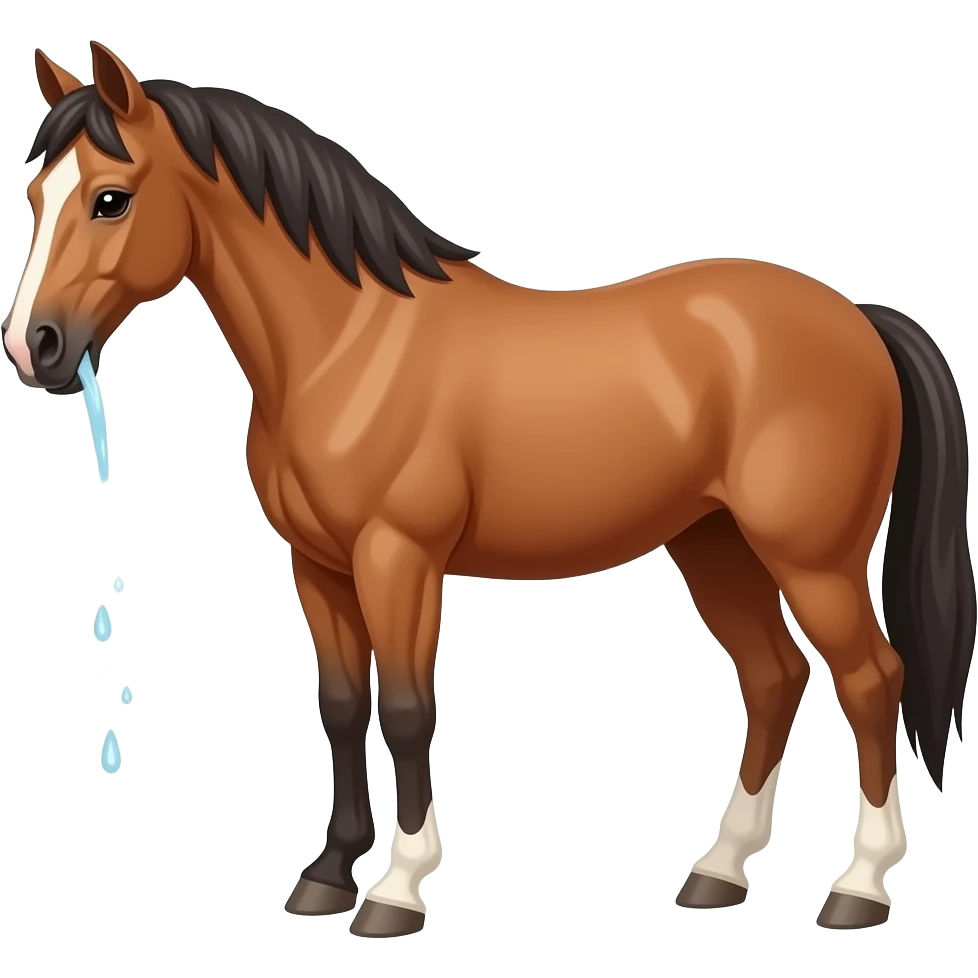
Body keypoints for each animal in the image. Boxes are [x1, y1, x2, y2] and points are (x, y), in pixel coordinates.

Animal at [4, 44, 974, 936]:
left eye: (111, 198)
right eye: (37, 198)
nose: (33, 347)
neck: (348, 343)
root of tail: (858, 319)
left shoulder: (398, 559)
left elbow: (405, 708)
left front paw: (396, 889)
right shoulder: (317, 566)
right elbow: (342, 706)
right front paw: (326, 875)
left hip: (813, 561)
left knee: (871, 679)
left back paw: (858, 886)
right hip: (715, 545)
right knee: (774, 678)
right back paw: (717, 872)